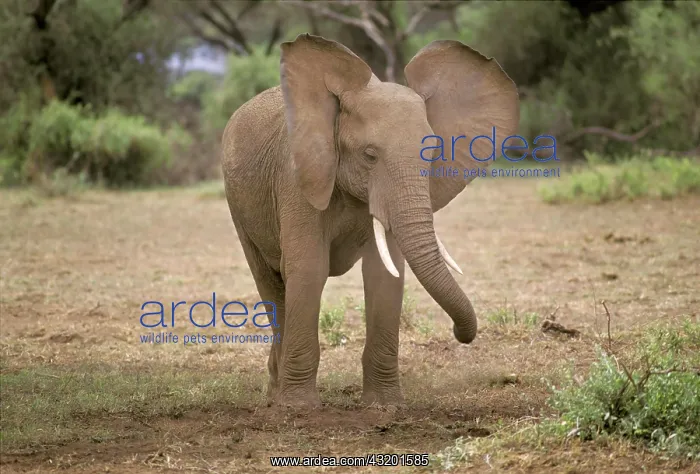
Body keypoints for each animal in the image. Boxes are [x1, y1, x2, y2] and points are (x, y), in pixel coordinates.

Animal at [221, 33, 519, 408]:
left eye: (433, 154)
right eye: (370, 155)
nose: (459, 335)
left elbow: (384, 273)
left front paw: (384, 405)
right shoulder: (298, 177)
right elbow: (308, 268)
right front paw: (300, 408)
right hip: (238, 203)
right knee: (270, 283)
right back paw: (276, 396)